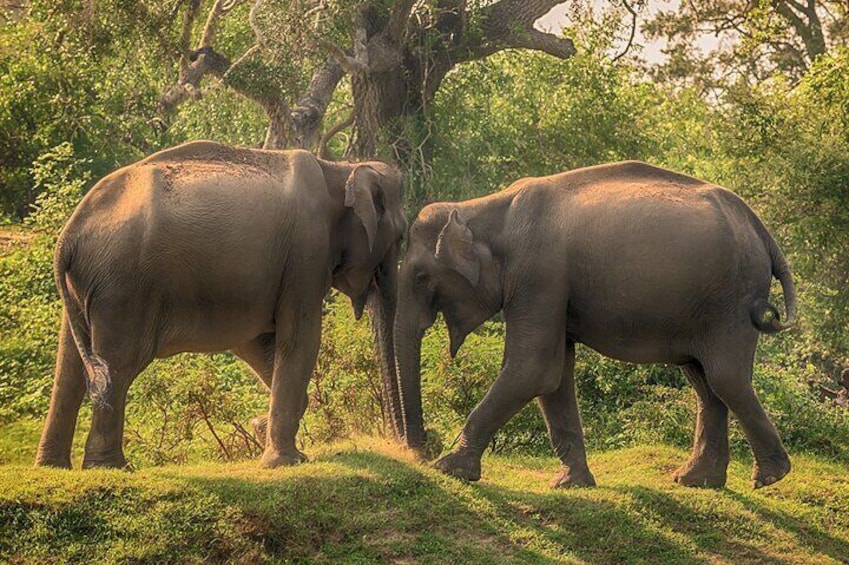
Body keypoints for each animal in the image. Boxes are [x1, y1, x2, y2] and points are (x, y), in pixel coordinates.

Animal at [32, 140, 404, 468]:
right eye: (401, 238)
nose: (404, 446)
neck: (339, 169)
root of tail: (68, 235)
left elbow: (254, 343)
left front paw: (263, 431)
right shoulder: (307, 252)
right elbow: (300, 338)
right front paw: (286, 461)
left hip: (86, 288)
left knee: (71, 367)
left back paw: (53, 466)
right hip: (122, 287)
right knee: (117, 365)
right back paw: (112, 467)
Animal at [394, 160, 800, 490]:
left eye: (420, 277)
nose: (420, 449)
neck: (482, 207)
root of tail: (761, 230)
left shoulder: (539, 273)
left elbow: (532, 368)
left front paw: (447, 467)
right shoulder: (551, 287)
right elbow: (553, 375)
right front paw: (570, 483)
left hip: (733, 300)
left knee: (724, 377)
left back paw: (768, 477)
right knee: (705, 382)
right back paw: (697, 480)